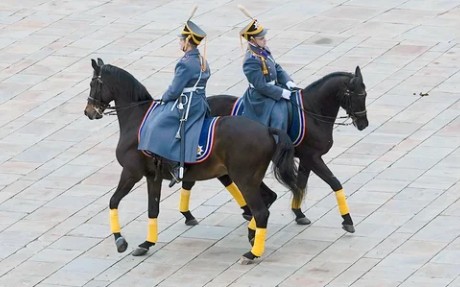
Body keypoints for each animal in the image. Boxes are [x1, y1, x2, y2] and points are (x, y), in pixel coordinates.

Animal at [84, 59, 304, 266]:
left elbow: (113, 201)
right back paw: (253, 237)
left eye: (93, 83)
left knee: (261, 212)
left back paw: (252, 253)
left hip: (245, 180)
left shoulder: (131, 173)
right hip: (249, 179)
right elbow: (152, 209)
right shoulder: (152, 177)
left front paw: (120, 241)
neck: (137, 119)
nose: (89, 112)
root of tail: (266, 129)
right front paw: (147, 244)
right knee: (268, 200)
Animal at [181, 67, 368, 234]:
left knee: (219, 178)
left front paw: (298, 213)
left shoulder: (307, 159)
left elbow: (300, 184)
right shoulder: (312, 157)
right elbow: (334, 182)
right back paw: (190, 214)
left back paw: (243, 211)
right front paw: (347, 220)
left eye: (365, 95)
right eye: (356, 95)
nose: (363, 124)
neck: (312, 111)